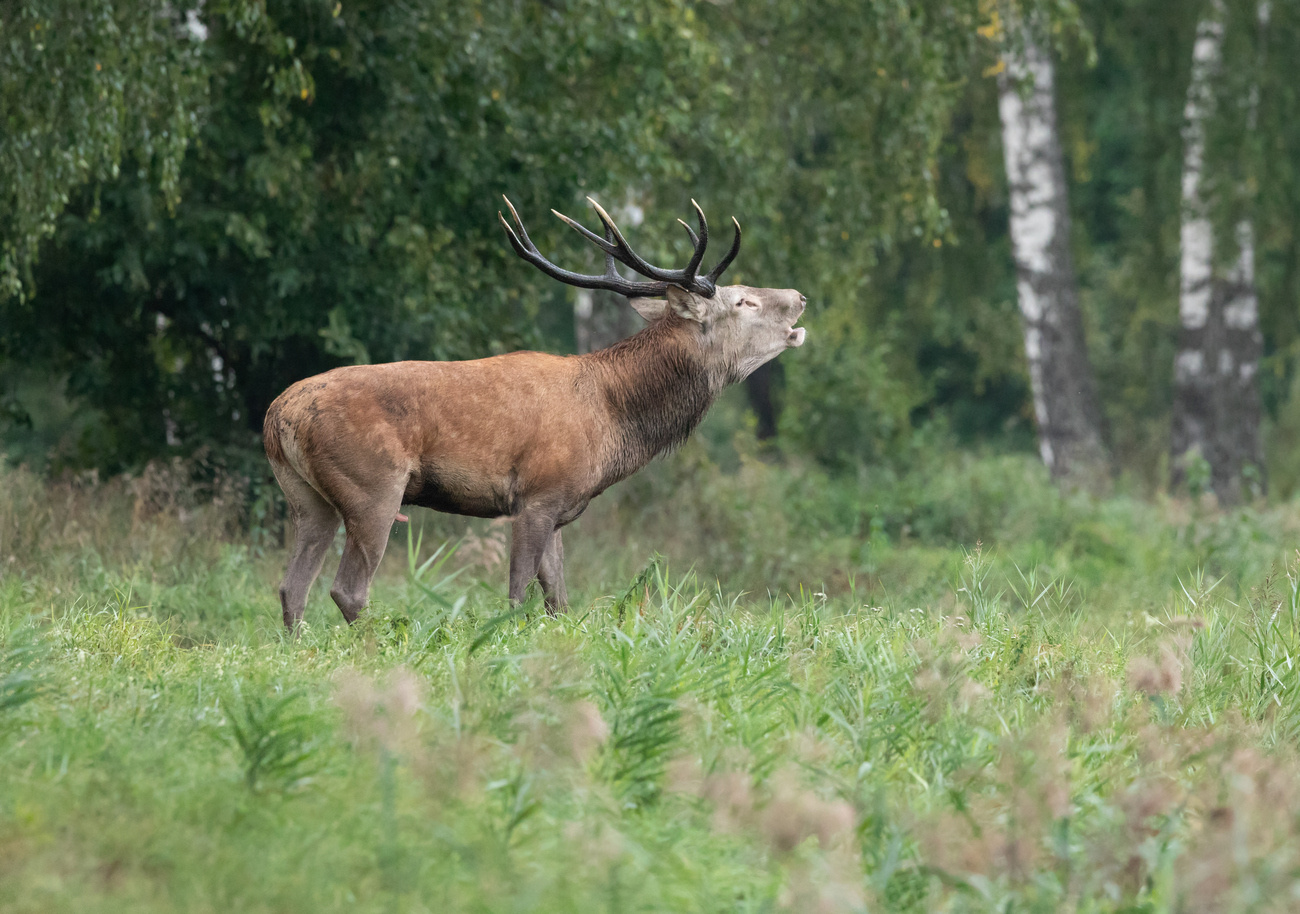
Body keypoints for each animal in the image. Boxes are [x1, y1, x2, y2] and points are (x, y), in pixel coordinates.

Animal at [263, 196, 806, 632]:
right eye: (744, 300)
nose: (799, 296)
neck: (612, 421)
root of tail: (277, 417)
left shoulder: (562, 508)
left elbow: (559, 602)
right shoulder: (537, 495)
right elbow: (518, 596)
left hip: (307, 498)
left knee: (292, 586)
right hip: (373, 487)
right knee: (347, 589)